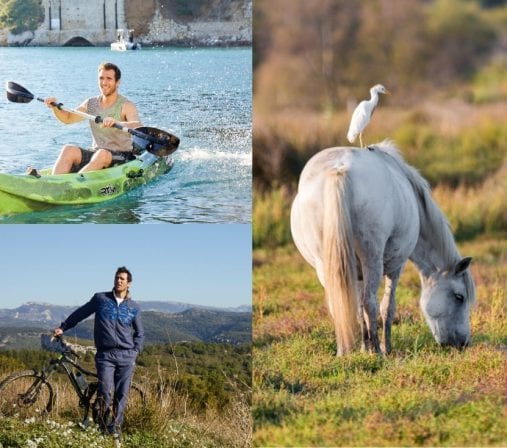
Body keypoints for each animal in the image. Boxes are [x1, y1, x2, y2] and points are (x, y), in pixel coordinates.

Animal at [290, 142, 476, 356]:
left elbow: (358, 307)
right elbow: (387, 307)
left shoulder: (356, 273)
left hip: (326, 266)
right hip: (372, 259)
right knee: (371, 303)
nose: (463, 343)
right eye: (459, 297)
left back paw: (344, 352)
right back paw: (378, 351)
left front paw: (364, 347)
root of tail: (340, 169)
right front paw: (386, 347)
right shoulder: (396, 267)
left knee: (342, 304)